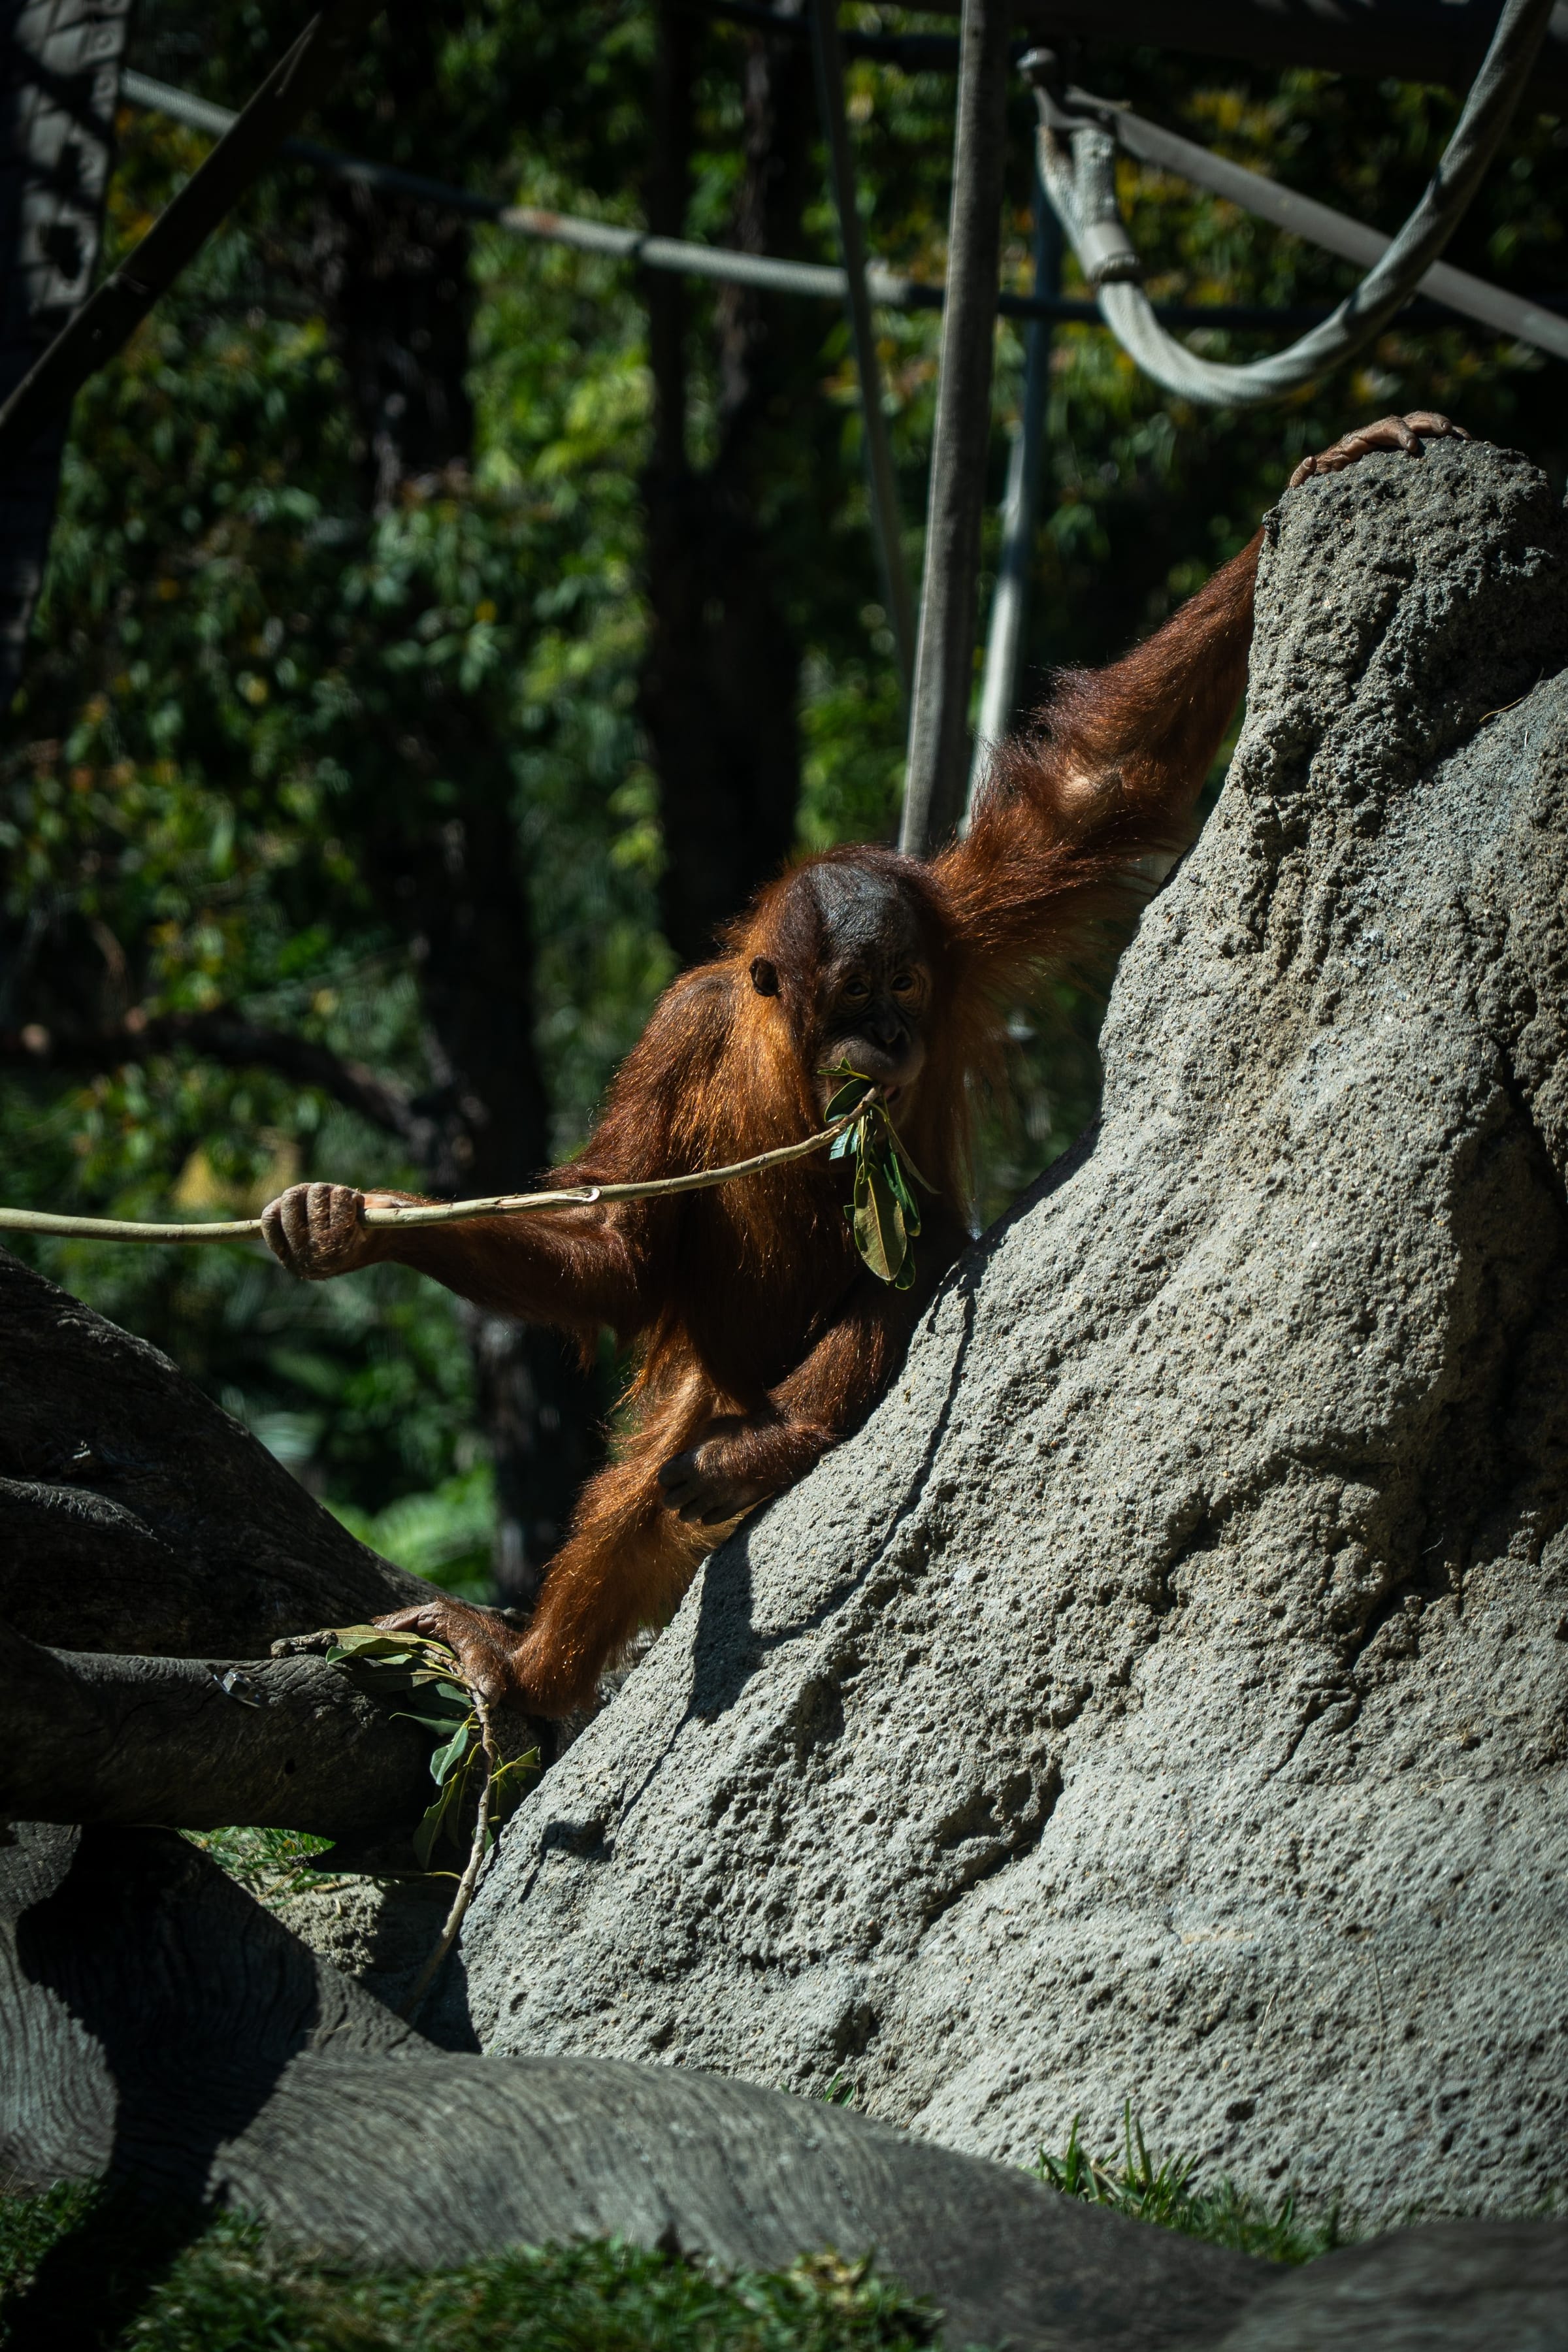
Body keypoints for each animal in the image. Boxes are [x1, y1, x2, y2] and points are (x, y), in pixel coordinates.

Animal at [262, 412, 1466, 1716]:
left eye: (903, 992)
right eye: (851, 996)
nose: (884, 1041)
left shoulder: (965, 930)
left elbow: (1100, 787)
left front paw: (1343, 455)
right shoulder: (681, 1031)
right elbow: (622, 1247)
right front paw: (348, 1223)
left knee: (900, 1284)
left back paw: (757, 1459)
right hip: (713, 1381)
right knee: (637, 1502)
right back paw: (522, 1680)